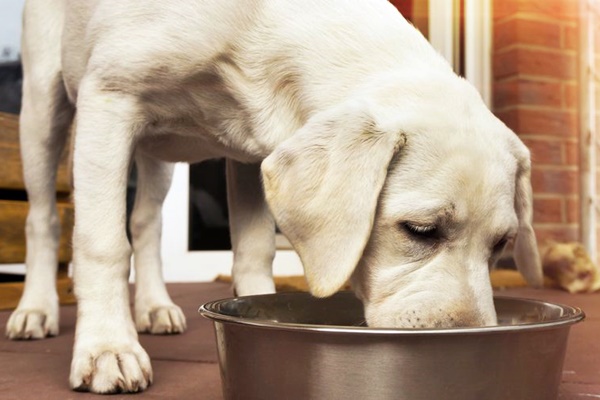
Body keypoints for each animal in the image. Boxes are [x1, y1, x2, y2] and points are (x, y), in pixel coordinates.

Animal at [5, 0, 540, 394]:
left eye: (500, 245)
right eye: (421, 231)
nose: (472, 340)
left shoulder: (250, 155)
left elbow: (254, 251)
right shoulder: (110, 96)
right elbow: (101, 244)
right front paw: (106, 350)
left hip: (156, 153)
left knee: (146, 223)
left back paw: (155, 306)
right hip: (44, 105)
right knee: (43, 218)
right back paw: (36, 309)